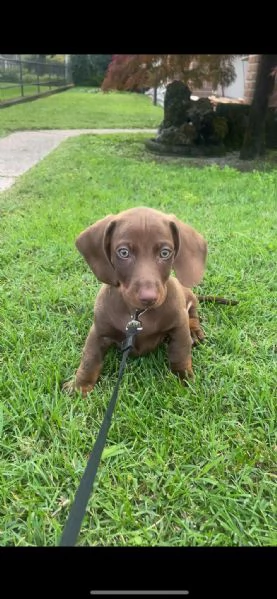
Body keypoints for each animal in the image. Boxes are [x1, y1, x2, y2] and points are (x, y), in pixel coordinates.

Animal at [63, 209, 207, 396]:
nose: (149, 298)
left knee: (193, 313)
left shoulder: (179, 327)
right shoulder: (98, 332)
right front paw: (80, 386)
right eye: (123, 252)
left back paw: (195, 331)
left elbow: (180, 353)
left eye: (165, 253)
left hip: (189, 298)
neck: (138, 314)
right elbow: (89, 359)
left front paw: (184, 380)